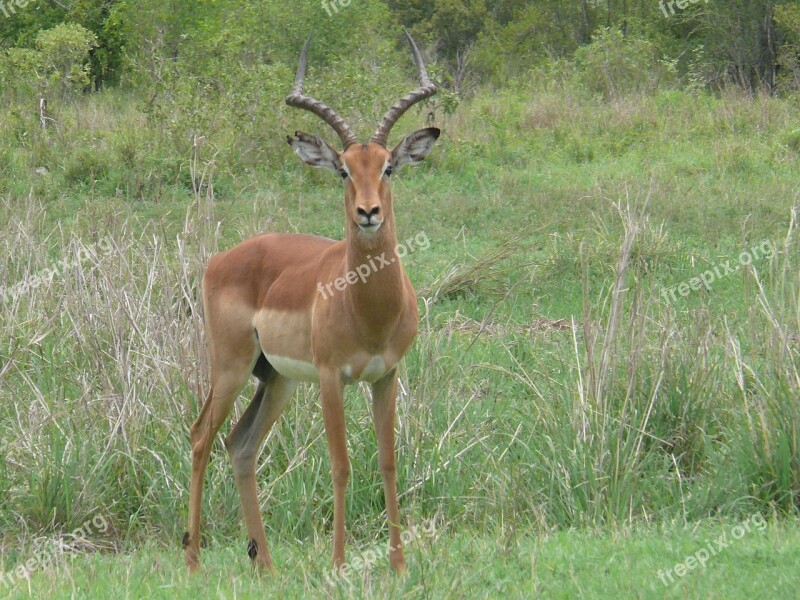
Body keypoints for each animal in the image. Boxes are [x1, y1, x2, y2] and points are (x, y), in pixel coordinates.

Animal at [184, 30, 440, 576]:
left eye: (388, 166)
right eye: (342, 170)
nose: (368, 212)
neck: (368, 309)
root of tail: (221, 259)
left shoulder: (386, 375)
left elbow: (388, 460)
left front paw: (398, 564)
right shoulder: (330, 378)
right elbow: (340, 464)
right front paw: (340, 564)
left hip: (276, 380)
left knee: (241, 446)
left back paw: (265, 564)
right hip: (231, 367)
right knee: (200, 437)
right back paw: (192, 559)